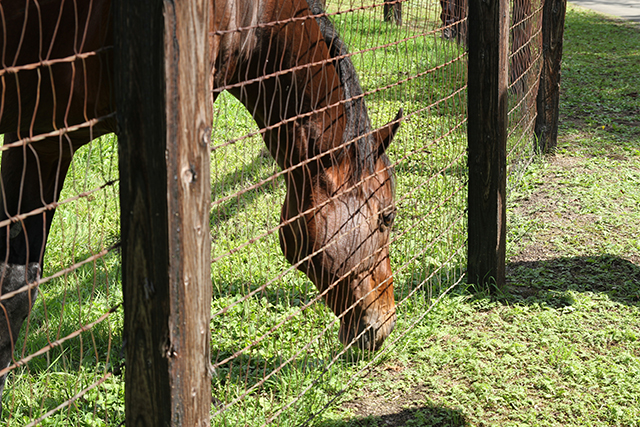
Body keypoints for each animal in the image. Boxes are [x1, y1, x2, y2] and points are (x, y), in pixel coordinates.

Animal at [0, 0, 400, 414]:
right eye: (387, 216)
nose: (385, 320)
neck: (251, 14)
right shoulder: (45, 141)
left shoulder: (31, 142)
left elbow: (15, 282)